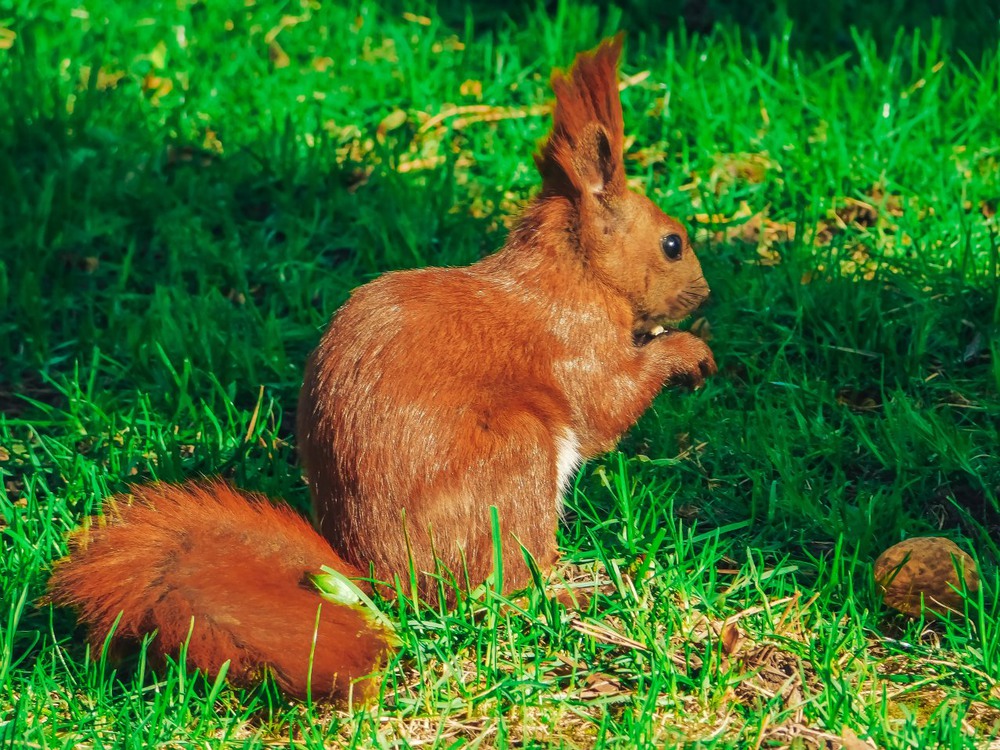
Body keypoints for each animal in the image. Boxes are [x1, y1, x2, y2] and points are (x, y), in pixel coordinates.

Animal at [48, 35, 720, 704]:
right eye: (673, 243)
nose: (705, 294)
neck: (574, 273)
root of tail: (376, 574)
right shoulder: (574, 344)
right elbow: (609, 404)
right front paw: (688, 352)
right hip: (518, 459)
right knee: (495, 592)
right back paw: (573, 586)